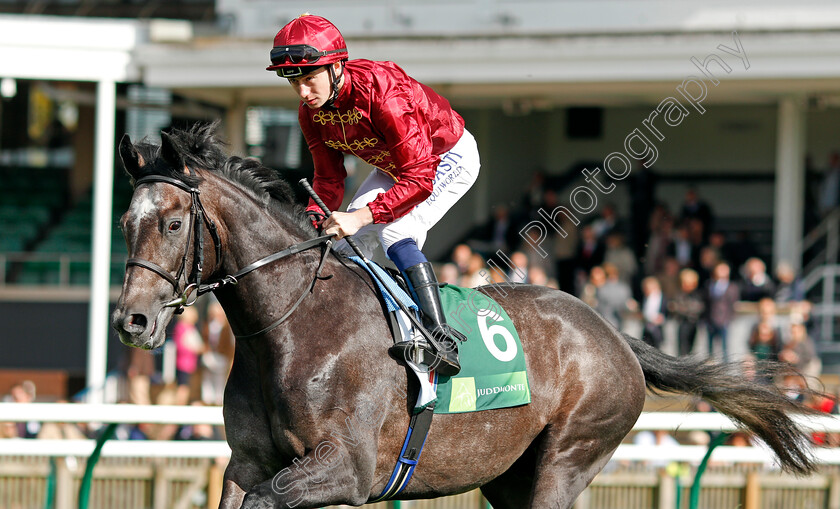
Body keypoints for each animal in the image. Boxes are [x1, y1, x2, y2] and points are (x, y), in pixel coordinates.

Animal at [113, 124, 820, 508]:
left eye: (172, 223)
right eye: (124, 222)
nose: (132, 323)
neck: (293, 327)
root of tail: (613, 334)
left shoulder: (346, 469)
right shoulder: (247, 462)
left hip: (569, 456)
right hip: (507, 475)